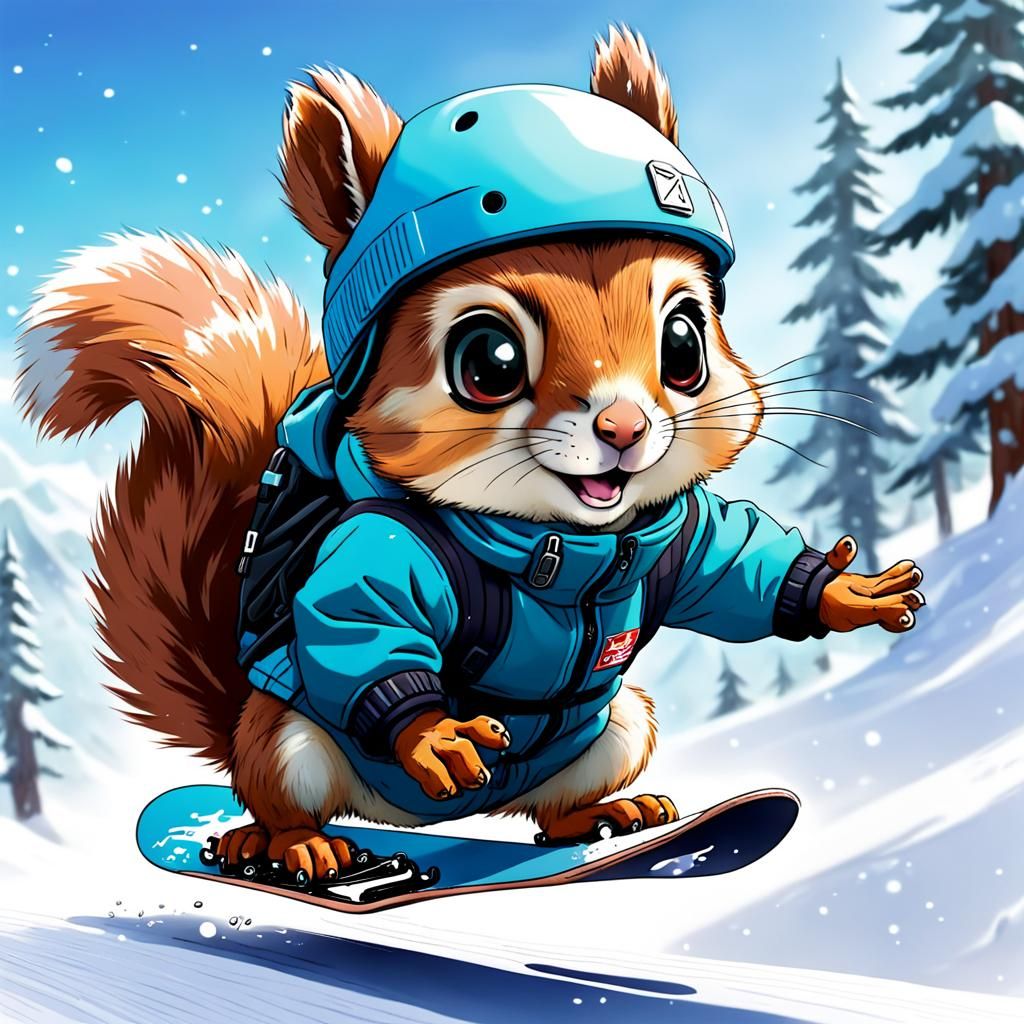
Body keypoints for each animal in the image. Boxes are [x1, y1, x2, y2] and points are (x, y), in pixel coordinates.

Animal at [17, 26, 925, 882]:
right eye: (488, 360)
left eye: (683, 341)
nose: (624, 429)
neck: (571, 549)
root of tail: (418, 823)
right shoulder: (383, 546)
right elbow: (359, 620)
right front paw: (432, 734)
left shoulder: (684, 531)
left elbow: (736, 564)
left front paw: (846, 591)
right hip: (289, 743)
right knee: (283, 800)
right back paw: (291, 846)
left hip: (621, 727)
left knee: (555, 811)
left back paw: (606, 821)